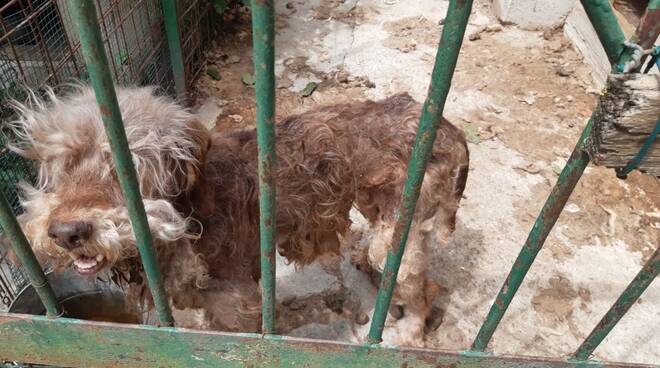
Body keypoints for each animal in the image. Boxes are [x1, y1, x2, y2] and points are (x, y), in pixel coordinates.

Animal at [6, 85, 470, 346]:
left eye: (127, 167)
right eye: (61, 164)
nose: (66, 232)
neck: (187, 220)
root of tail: (449, 127)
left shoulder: (239, 307)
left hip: (400, 231)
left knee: (425, 287)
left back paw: (408, 335)